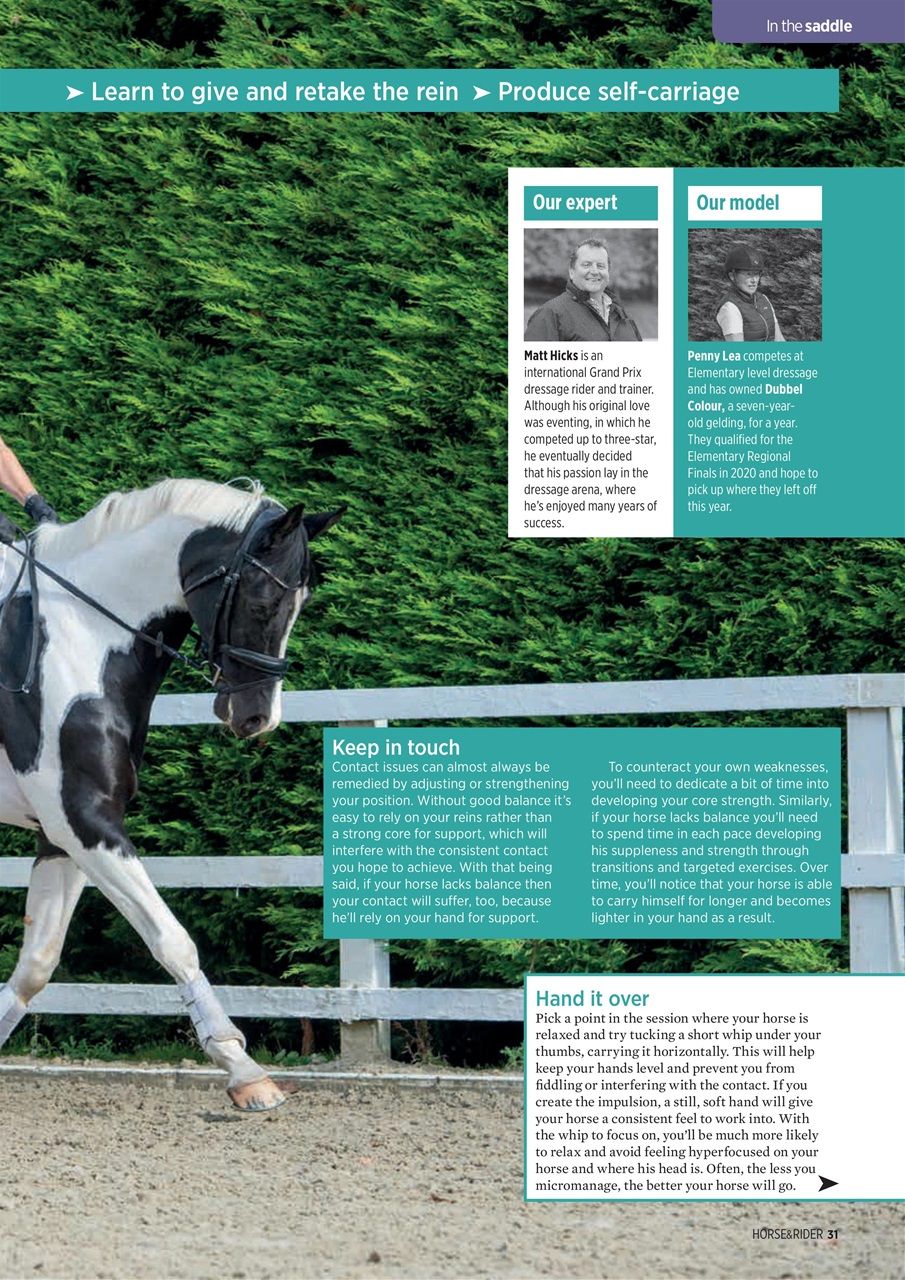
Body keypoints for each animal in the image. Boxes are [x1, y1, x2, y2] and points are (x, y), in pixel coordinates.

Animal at [0, 478, 343, 1110]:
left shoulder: (63, 834)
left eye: (300, 607)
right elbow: (173, 940)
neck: (84, 636)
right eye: (261, 602)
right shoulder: (84, 820)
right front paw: (244, 1070)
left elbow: (37, 962)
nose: (256, 718)